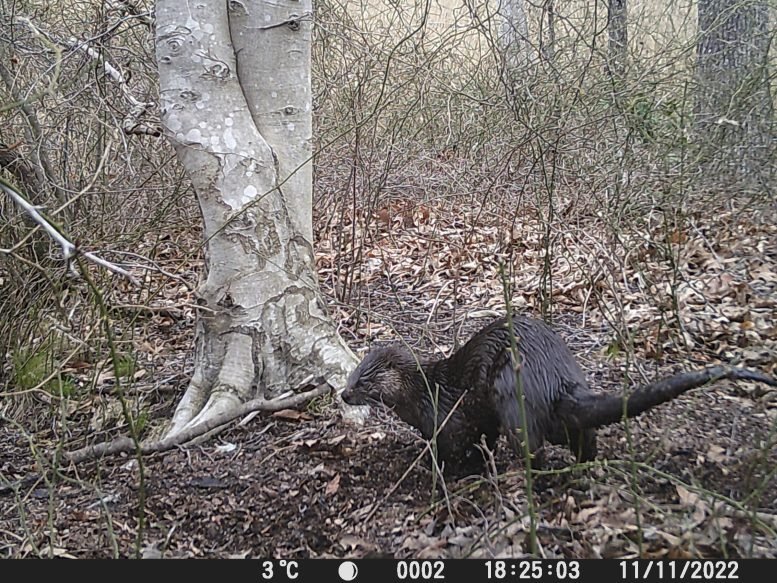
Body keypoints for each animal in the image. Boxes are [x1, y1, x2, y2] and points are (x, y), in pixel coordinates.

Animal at [341, 315, 777, 476]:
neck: (425, 392)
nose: (343, 395)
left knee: (533, 449)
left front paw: (444, 471)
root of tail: (557, 382)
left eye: (362, 381)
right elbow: (483, 440)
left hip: (510, 396)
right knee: (583, 436)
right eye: (349, 374)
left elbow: (456, 448)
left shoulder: (450, 419)